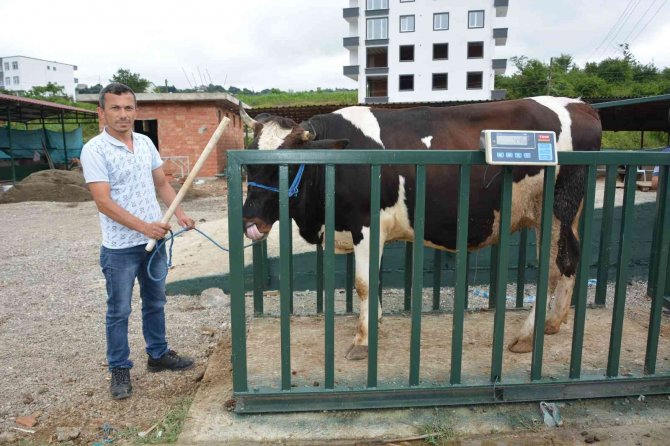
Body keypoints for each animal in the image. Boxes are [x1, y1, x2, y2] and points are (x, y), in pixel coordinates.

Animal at [242, 97, 604, 358]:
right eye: (246, 165)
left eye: (288, 166)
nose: (250, 223)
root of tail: (580, 105)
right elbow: (372, 280)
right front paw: (374, 324)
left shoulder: (366, 224)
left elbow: (363, 283)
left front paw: (362, 342)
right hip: (563, 215)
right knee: (570, 259)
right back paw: (552, 323)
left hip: (556, 209)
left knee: (555, 267)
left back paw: (527, 336)